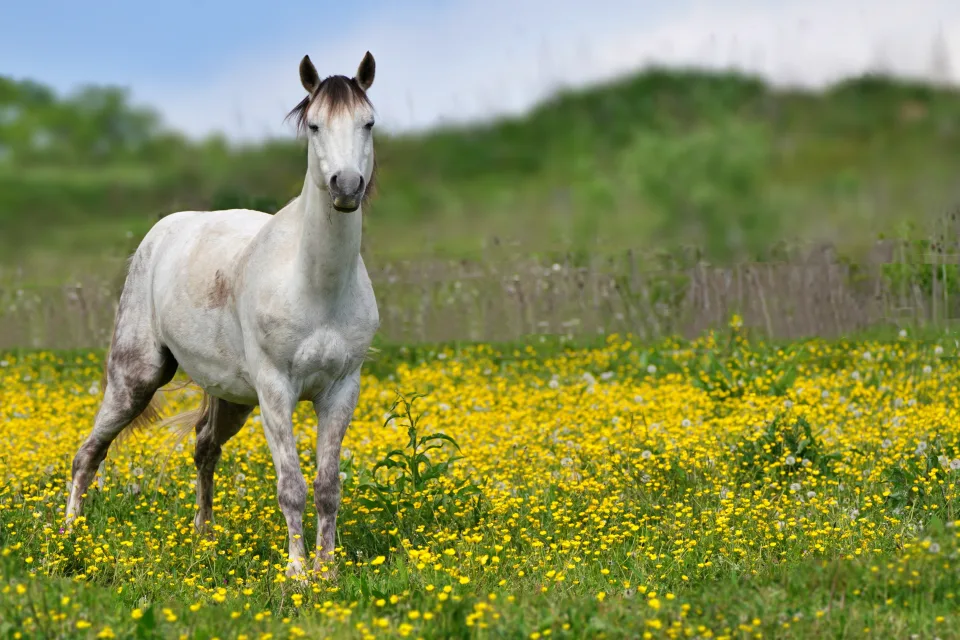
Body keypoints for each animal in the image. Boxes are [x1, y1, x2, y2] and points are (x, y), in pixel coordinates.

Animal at [65, 51, 381, 580]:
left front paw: (328, 571)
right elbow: (292, 487)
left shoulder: (341, 391)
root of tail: (163, 233)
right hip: (135, 379)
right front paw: (297, 575)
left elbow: (327, 488)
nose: (347, 186)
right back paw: (68, 537)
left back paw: (204, 537)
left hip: (233, 398)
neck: (315, 287)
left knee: (205, 446)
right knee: (89, 453)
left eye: (368, 122)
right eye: (315, 125)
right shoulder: (276, 390)